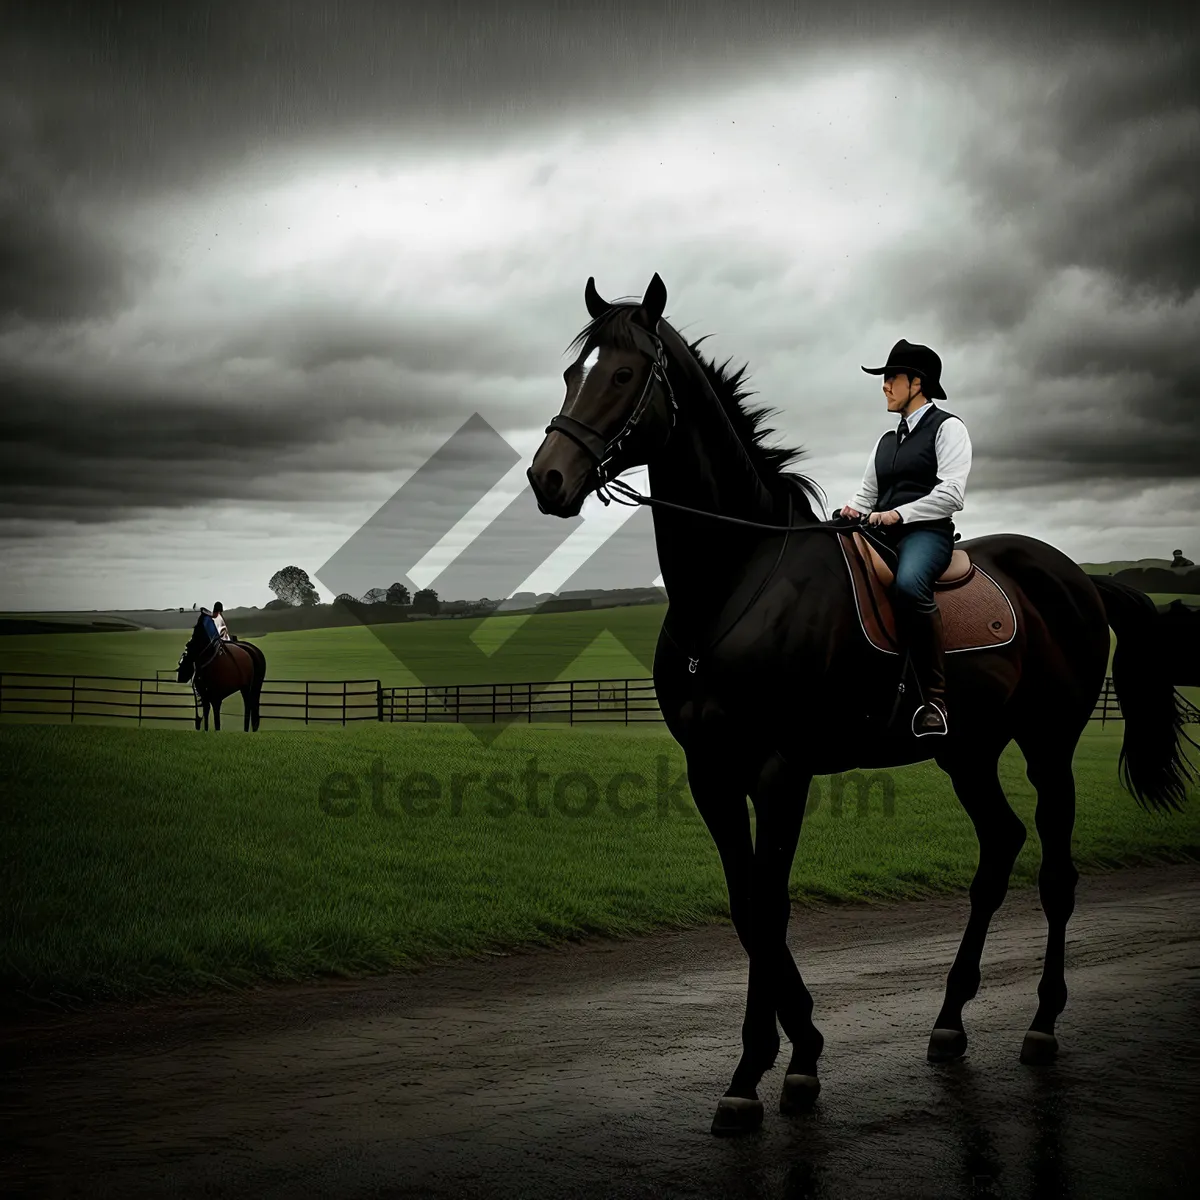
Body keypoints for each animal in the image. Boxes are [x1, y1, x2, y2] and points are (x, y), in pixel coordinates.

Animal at [525, 272, 1200, 1132]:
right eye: (571, 374)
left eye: (622, 374)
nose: (547, 480)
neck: (736, 582)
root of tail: (1075, 577)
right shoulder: (712, 774)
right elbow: (745, 907)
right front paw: (796, 1051)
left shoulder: (779, 771)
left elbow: (771, 908)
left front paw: (758, 1072)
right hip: (965, 751)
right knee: (999, 847)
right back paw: (949, 1021)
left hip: (1047, 746)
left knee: (1055, 872)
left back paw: (1043, 1024)